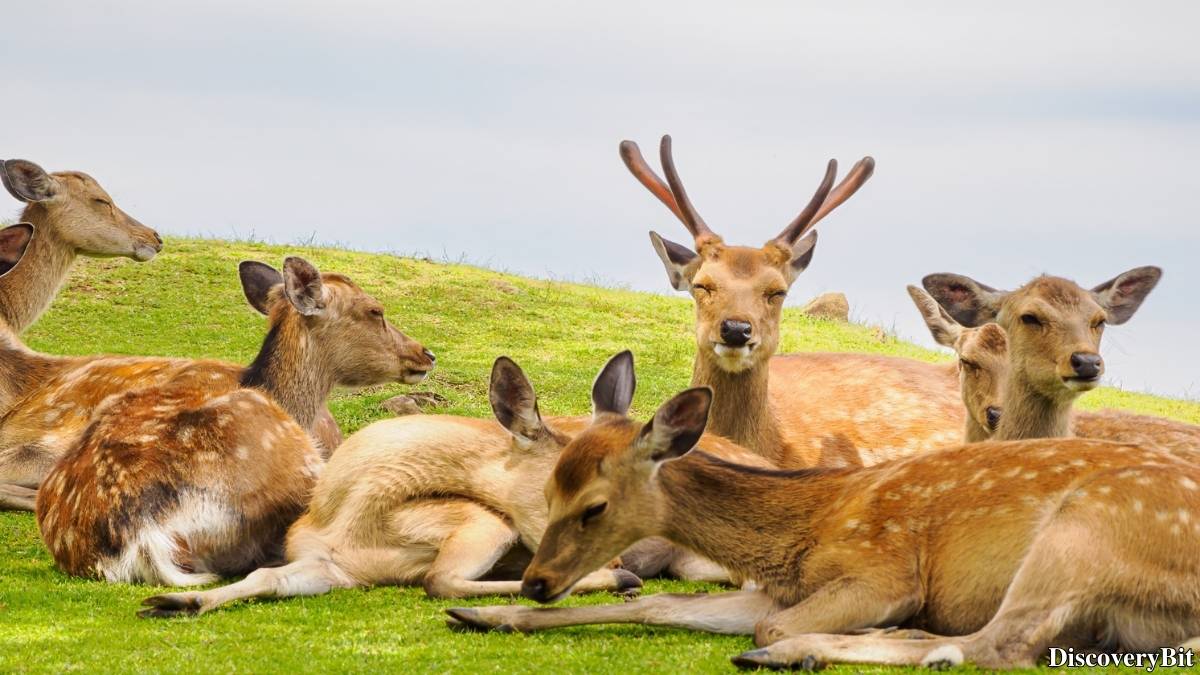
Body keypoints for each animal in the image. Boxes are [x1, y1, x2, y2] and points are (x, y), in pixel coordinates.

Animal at [137, 352, 773, 616]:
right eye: (555, 491)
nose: (618, 557)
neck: (351, 510)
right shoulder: (329, 567)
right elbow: (265, 577)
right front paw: (175, 600)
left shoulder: (480, 521)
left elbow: (439, 580)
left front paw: (615, 579)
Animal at [445, 354, 1200, 670]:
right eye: (547, 491)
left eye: (594, 506)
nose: (536, 581)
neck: (801, 532)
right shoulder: (774, 588)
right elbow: (656, 605)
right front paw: (481, 615)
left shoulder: (884, 570)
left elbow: (773, 623)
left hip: (1084, 529)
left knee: (1002, 647)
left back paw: (799, 655)